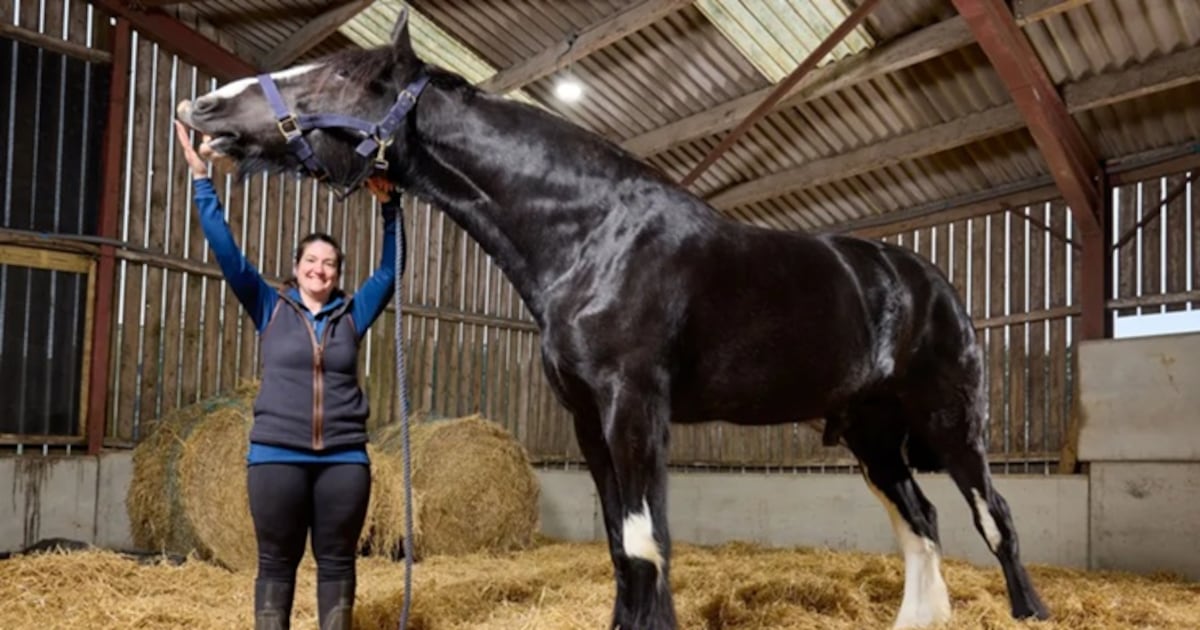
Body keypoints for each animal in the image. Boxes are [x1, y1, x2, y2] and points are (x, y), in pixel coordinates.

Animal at [174, 11, 1048, 629]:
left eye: (340, 76)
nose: (204, 107)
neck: (593, 234)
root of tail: (927, 280)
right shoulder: (588, 418)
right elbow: (620, 547)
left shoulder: (636, 407)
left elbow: (644, 540)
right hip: (872, 434)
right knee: (922, 519)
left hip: (950, 422)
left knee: (995, 515)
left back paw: (1030, 611)